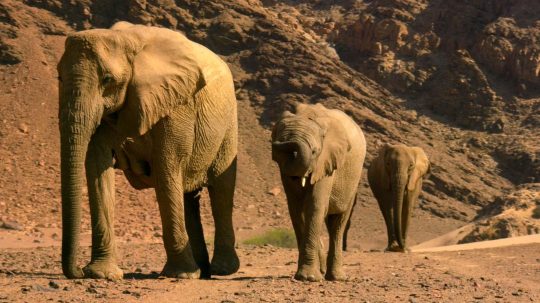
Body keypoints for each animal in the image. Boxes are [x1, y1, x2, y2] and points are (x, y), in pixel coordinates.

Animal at [56, 22, 238, 280]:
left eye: (107, 79)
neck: (125, 40)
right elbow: (98, 171)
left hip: (229, 124)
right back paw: (203, 271)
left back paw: (222, 270)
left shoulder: (176, 103)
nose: (78, 272)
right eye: (59, 77)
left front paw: (180, 275)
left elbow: (166, 168)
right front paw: (102, 274)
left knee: (221, 190)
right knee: (188, 195)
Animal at [270, 103, 368, 282]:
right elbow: (296, 209)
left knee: (338, 223)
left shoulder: (327, 161)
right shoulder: (284, 172)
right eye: (279, 156)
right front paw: (307, 275)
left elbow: (314, 206)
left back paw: (336, 277)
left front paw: (308, 277)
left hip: (353, 181)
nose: (278, 142)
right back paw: (324, 272)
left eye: (315, 151)